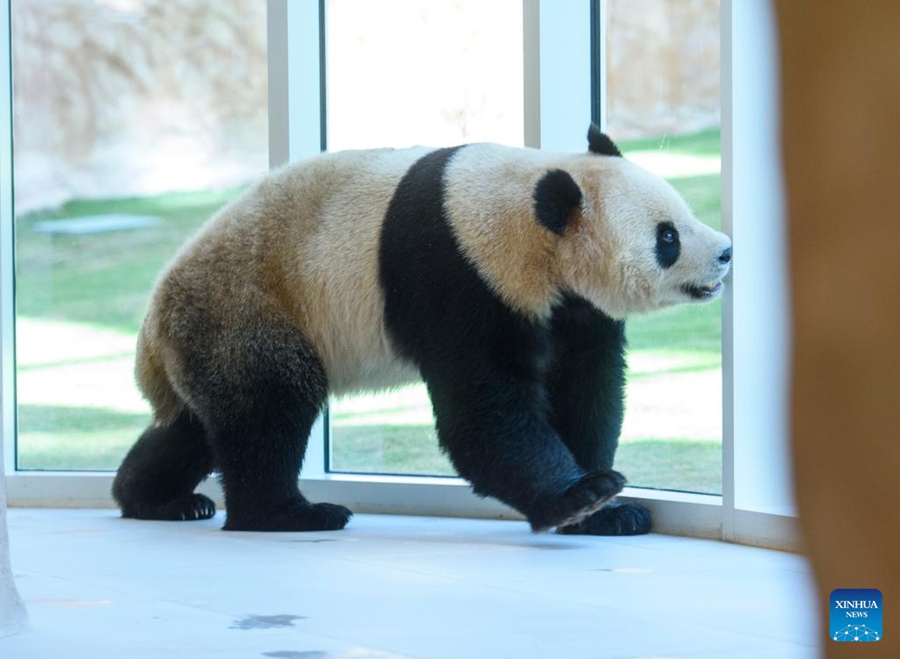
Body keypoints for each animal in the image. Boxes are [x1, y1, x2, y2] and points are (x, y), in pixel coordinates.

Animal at [112, 125, 732, 535]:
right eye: (668, 236)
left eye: (683, 214)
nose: (726, 252)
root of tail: (151, 332)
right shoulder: (457, 275)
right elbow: (483, 411)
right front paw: (580, 497)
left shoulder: (569, 306)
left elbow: (584, 390)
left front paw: (612, 510)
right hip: (248, 305)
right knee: (270, 405)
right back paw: (287, 514)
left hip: (211, 334)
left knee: (196, 424)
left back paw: (156, 499)